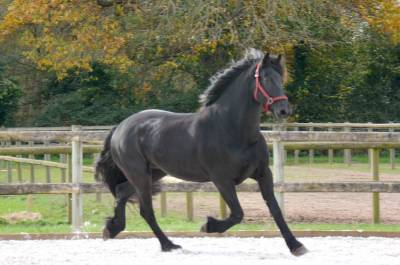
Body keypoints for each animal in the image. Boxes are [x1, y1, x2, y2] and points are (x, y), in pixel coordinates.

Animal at [95, 49, 308, 254]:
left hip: (152, 173)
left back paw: (112, 228)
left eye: (281, 78)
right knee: (146, 210)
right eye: (265, 78)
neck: (233, 130)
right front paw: (208, 225)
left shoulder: (263, 174)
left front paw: (296, 246)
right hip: (139, 175)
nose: (284, 110)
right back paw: (168, 245)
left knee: (122, 192)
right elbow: (237, 214)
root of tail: (120, 127)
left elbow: (275, 209)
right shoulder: (222, 180)